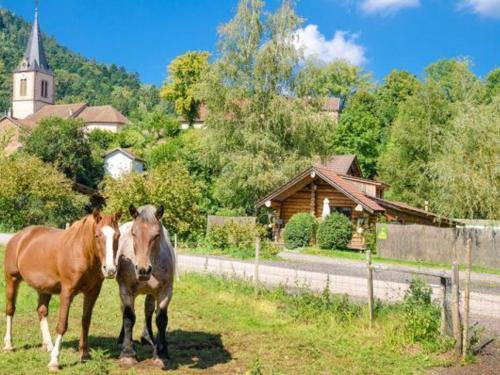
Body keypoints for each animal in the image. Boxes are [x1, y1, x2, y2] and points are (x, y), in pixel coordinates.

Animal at [3, 210, 121, 372]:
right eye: (97, 235)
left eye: (118, 235)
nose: (110, 270)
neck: (81, 252)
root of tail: (18, 237)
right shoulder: (67, 292)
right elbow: (62, 325)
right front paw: (54, 361)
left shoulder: (93, 292)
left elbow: (86, 321)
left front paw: (84, 354)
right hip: (12, 280)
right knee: (10, 310)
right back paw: (9, 345)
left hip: (43, 288)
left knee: (41, 311)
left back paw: (48, 345)